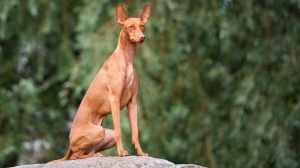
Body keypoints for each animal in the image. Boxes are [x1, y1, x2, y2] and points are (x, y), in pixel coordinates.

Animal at [51, 3, 151, 162]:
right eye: (130, 26)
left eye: (142, 26)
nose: (142, 37)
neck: (127, 60)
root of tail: (70, 141)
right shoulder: (115, 99)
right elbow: (119, 130)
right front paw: (121, 152)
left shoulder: (133, 103)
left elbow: (135, 133)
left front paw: (141, 153)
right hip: (97, 131)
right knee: (75, 155)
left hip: (105, 133)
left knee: (88, 152)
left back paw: (97, 154)